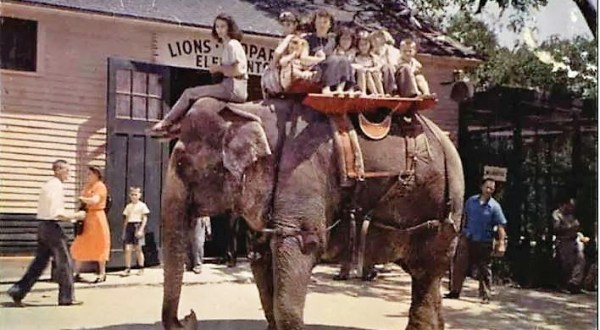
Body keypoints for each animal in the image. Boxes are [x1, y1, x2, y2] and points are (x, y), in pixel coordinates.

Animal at [162, 96, 466, 330]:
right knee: (426, 277)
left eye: (182, 163)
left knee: (427, 273)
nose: (189, 315)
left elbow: (298, 248)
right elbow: (262, 261)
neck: (248, 109)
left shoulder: (301, 170)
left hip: (443, 210)